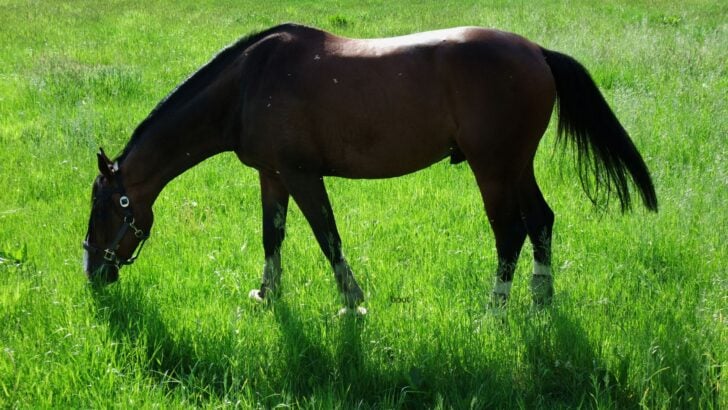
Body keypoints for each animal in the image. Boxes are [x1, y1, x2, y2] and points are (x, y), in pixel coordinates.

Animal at [83, 23, 657, 314]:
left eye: (107, 207)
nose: (93, 273)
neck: (248, 83)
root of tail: (536, 51)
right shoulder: (272, 176)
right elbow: (273, 236)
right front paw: (267, 295)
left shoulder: (302, 174)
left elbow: (327, 237)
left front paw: (351, 302)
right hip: (516, 164)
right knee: (540, 220)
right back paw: (541, 300)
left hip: (493, 167)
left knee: (510, 232)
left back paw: (494, 311)